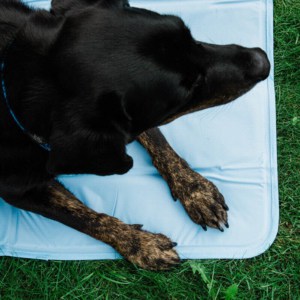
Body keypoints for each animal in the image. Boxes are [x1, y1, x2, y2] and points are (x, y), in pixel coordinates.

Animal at [0, 0, 270, 270]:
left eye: (191, 37)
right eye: (191, 88)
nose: (263, 60)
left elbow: (155, 138)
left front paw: (195, 190)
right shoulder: (19, 190)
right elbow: (81, 216)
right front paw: (141, 245)